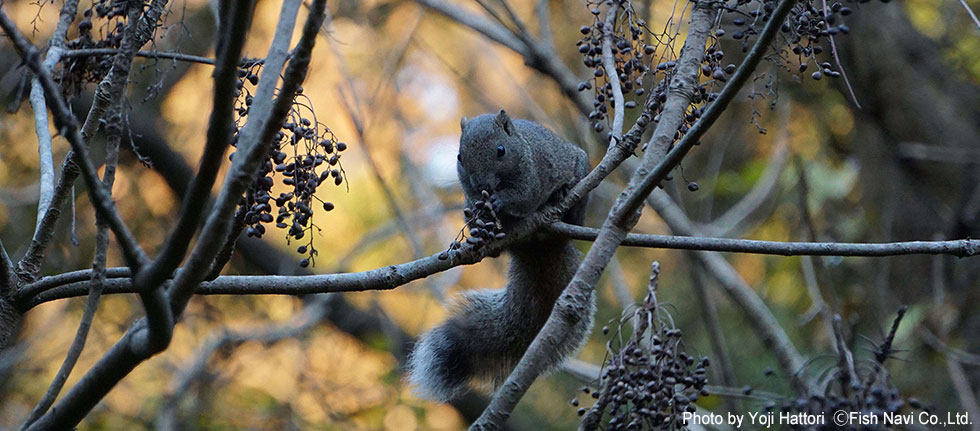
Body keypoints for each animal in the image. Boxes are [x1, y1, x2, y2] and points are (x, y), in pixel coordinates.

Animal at [408, 110, 596, 402]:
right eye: (459, 157)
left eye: (501, 150)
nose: (481, 184)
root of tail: (541, 248)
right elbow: (474, 204)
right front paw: (476, 218)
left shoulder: (533, 174)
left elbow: (522, 197)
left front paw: (500, 202)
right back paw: (481, 235)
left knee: (573, 214)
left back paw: (562, 195)